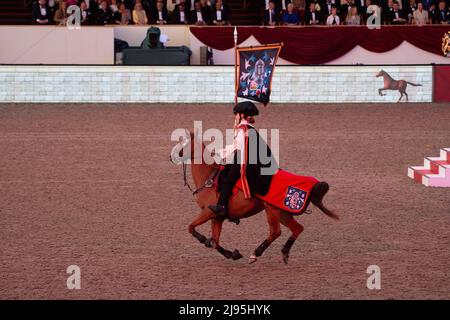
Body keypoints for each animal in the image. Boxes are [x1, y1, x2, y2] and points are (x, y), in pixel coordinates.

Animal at [171, 131, 338, 264]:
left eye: (183, 143)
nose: (171, 156)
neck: (209, 179)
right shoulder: (217, 218)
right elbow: (215, 242)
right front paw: (232, 254)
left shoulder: (209, 212)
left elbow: (191, 228)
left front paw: (204, 240)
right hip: (281, 213)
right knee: (295, 229)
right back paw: (281, 252)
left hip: (273, 211)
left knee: (277, 231)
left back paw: (257, 254)